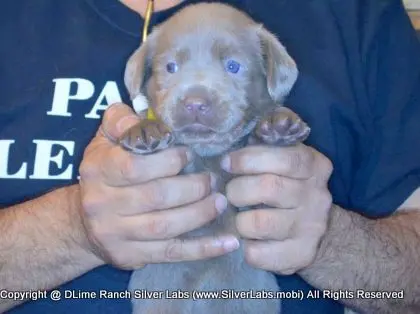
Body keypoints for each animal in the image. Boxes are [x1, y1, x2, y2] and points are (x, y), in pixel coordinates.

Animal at [120, 2, 310, 314]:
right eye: (170, 67)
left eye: (233, 66)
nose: (195, 103)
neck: (208, 155)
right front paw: (144, 130)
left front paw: (279, 125)